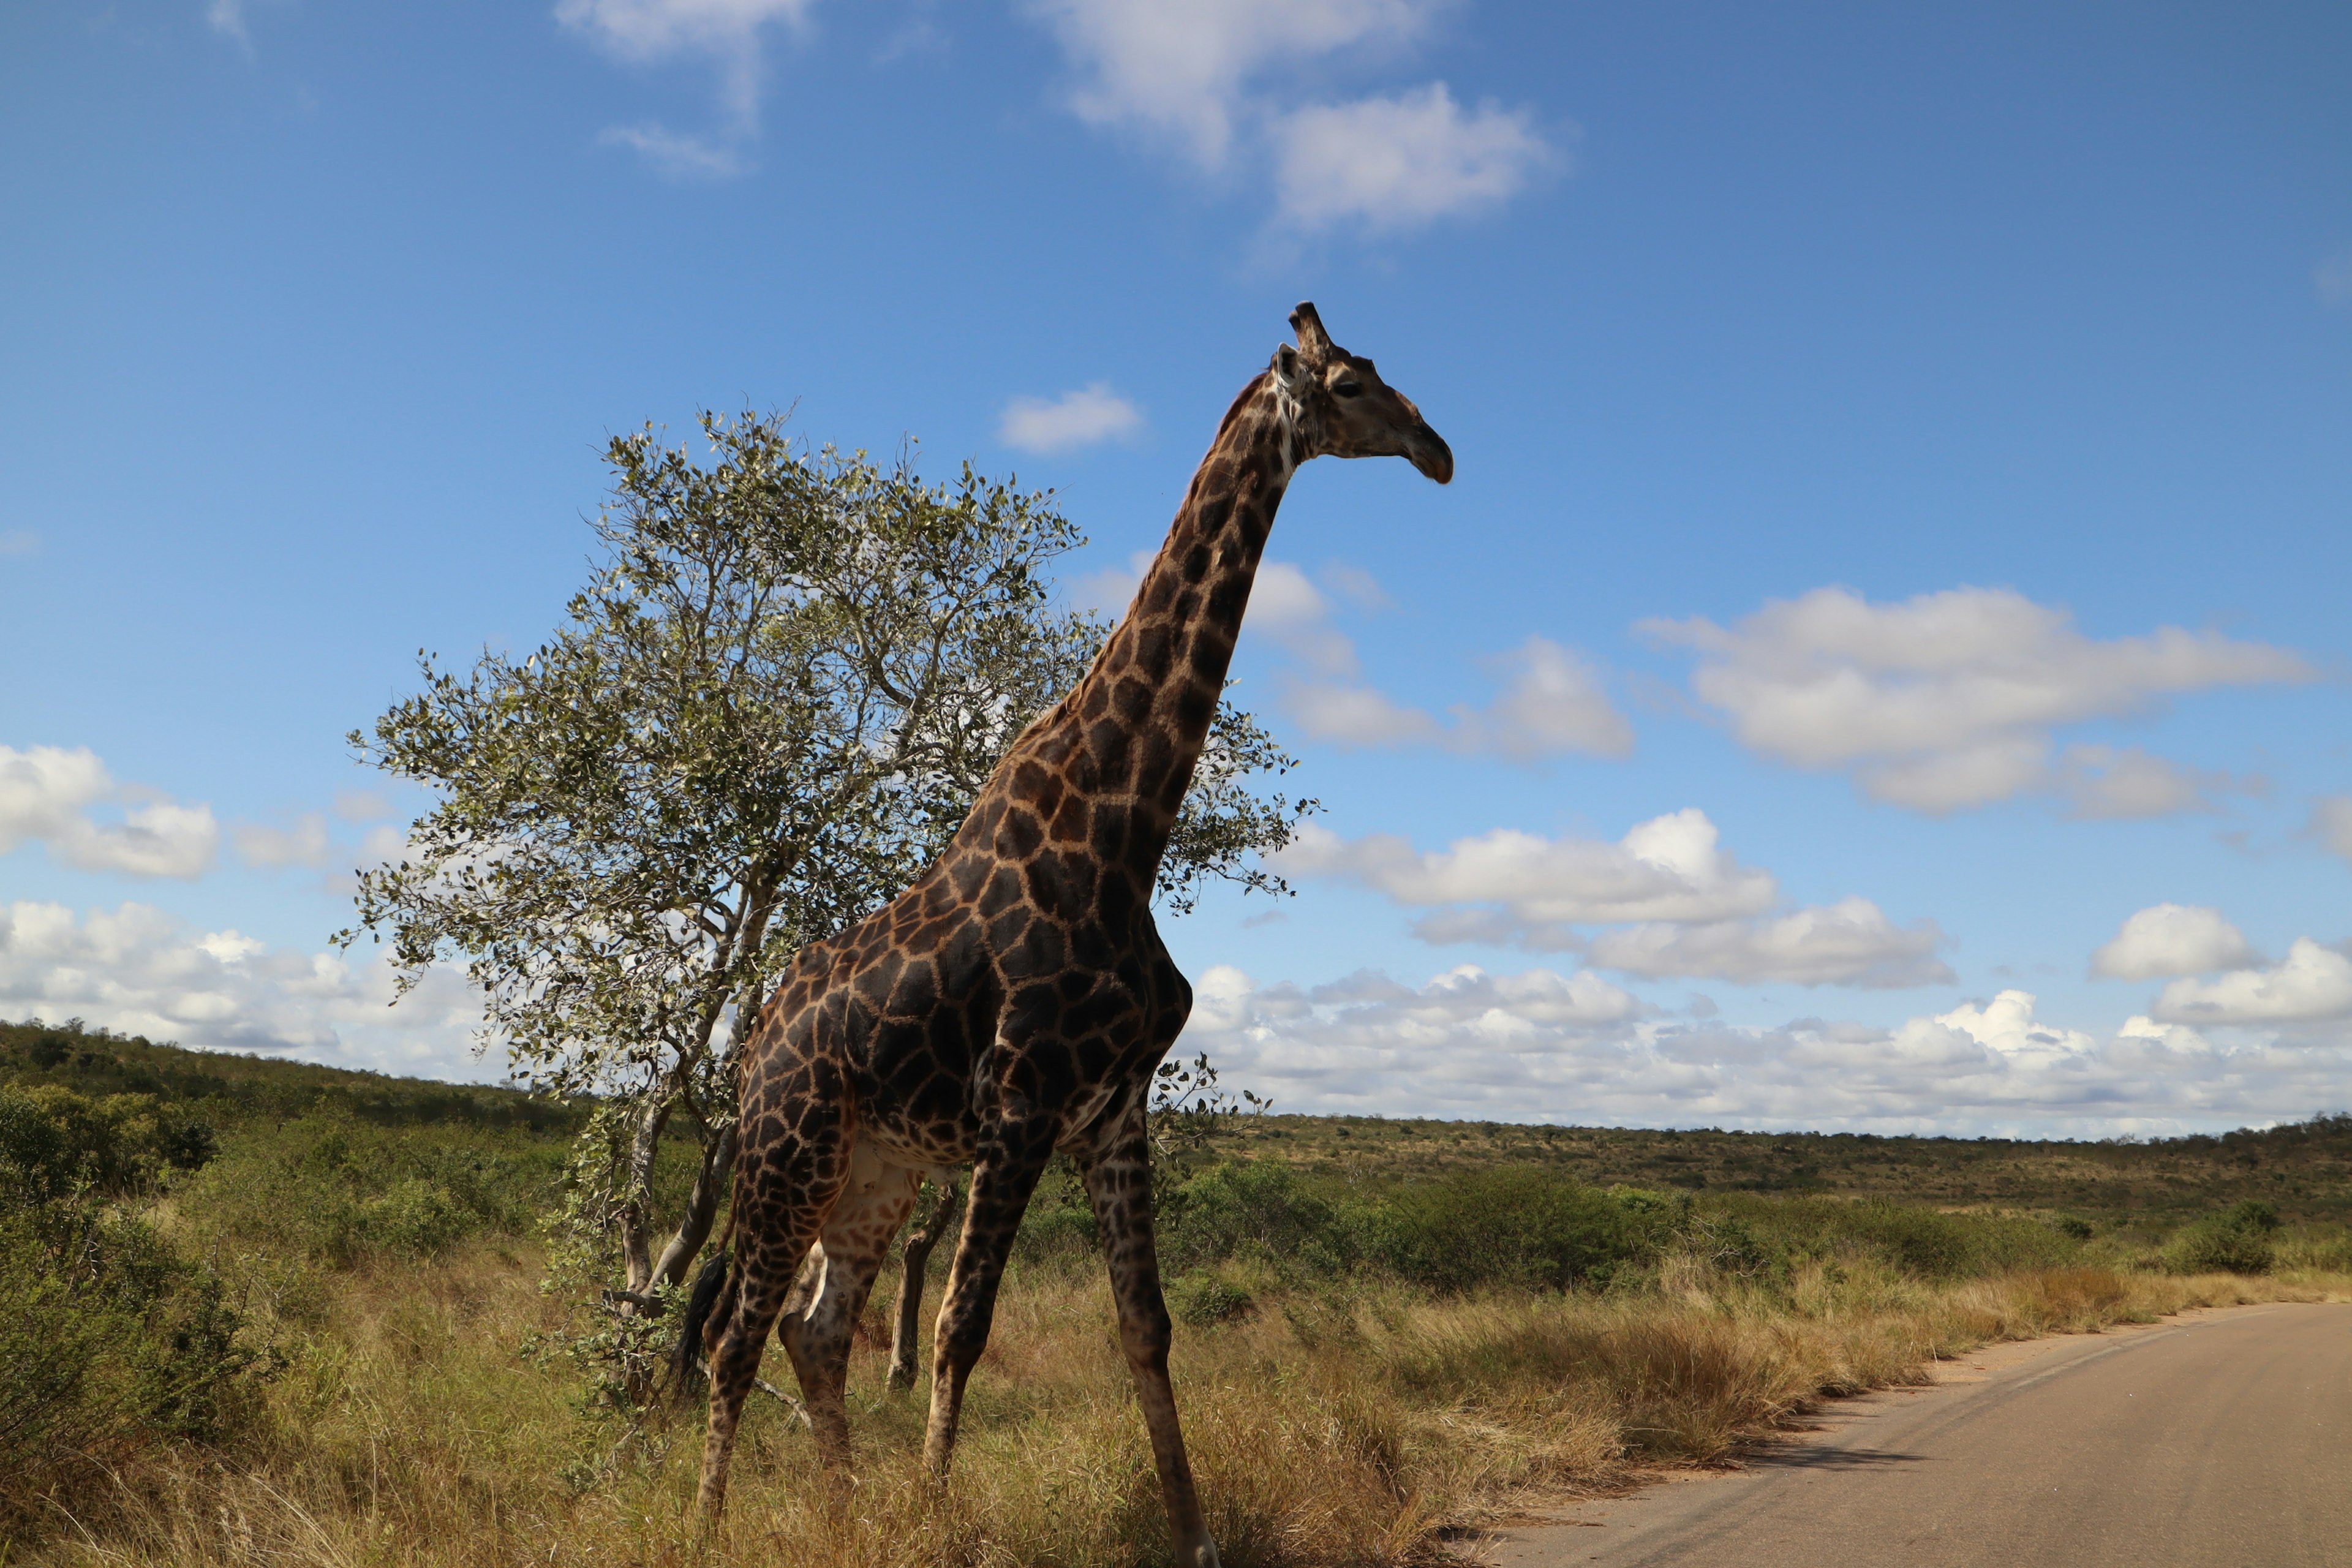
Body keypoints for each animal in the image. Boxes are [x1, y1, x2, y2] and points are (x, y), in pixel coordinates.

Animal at [682, 301, 1449, 1561]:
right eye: (1347, 385)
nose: (1439, 451)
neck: (1125, 827)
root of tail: (752, 1044)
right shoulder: (1023, 1099)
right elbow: (961, 1325)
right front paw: (939, 1519)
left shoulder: (1112, 1108)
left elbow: (1148, 1326)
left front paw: (1193, 1534)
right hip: (790, 1149)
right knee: (735, 1334)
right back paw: (712, 1523)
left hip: (878, 1165)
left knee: (816, 1329)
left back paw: (841, 1512)